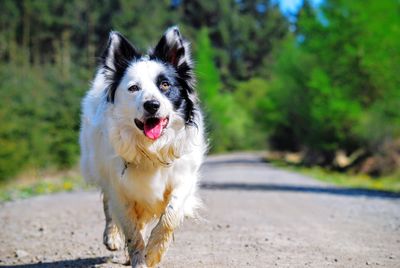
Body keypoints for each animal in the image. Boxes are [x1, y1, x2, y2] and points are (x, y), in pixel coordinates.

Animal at [80, 26, 208, 266]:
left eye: (165, 85)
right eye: (133, 88)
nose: (152, 105)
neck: (151, 149)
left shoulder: (183, 178)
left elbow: (169, 216)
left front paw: (154, 252)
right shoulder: (121, 188)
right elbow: (132, 232)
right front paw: (139, 259)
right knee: (108, 204)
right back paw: (112, 237)